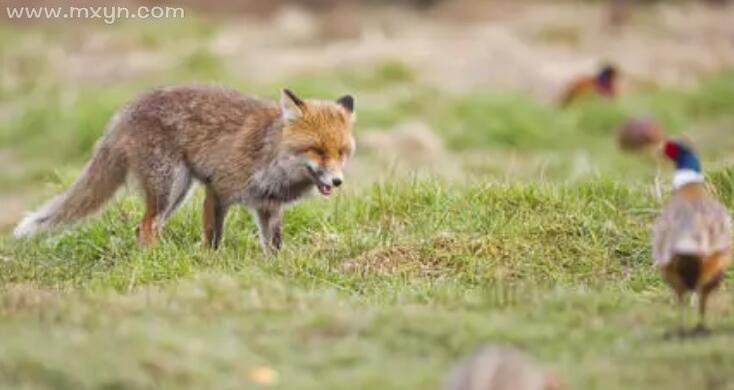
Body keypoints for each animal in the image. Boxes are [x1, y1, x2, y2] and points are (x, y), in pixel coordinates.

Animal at [11, 85, 356, 251]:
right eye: (316, 150)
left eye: (342, 152)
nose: (338, 181)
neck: (270, 156)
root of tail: (124, 112)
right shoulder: (217, 190)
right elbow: (213, 239)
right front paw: (209, 263)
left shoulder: (268, 206)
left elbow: (274, 245)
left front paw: (275, 268)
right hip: (169, 187)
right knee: (146, 227)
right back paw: (161, 258)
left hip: (177, 192)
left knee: (143, 228)